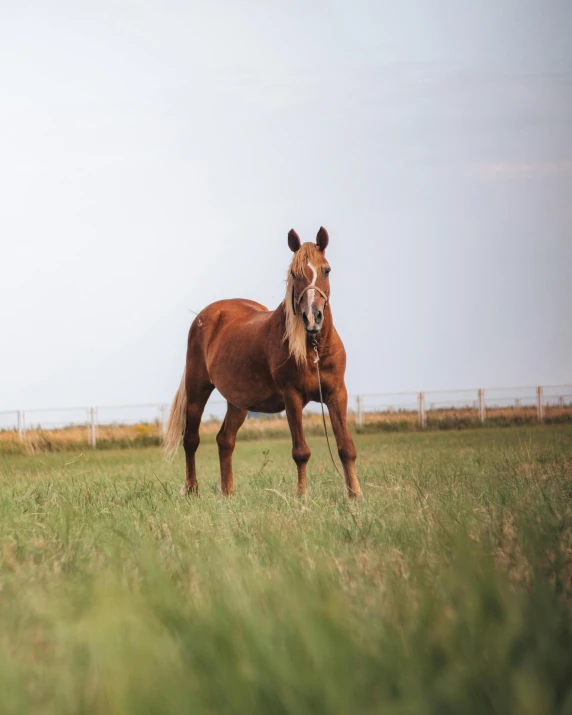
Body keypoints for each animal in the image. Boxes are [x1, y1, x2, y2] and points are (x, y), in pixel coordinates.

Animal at [164, 228, 362, 498]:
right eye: (294, 273)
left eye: (327, 270)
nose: (312, 317)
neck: (314, 349)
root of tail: (206, 316)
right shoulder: (292, 397)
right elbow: (301, 451)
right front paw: (302, 496)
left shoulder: (337, 394)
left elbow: (346, 447)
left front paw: (355, 495)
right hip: (197, 390)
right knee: (191, 439)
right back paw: (192, 490)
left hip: (238, 402)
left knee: (225, 440)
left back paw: (228, 493)